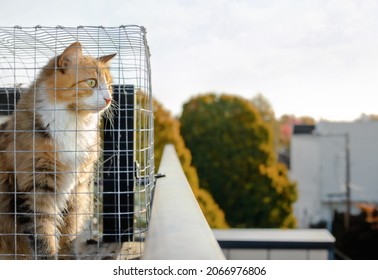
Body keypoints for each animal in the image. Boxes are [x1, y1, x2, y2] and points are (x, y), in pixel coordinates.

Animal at [0, 42, 116, 260]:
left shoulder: (76, 190)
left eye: (109, 85)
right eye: (91, 83)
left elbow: (67, 234)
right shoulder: (36, 187)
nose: (108, 99)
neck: (75, 124)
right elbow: (43, 236)